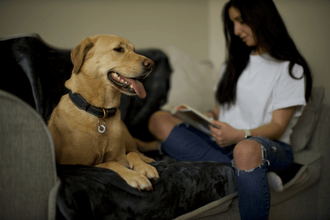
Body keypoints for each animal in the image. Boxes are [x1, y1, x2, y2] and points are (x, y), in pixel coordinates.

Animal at [47, 34, 159, 191]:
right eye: (118, 49)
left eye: (134, 50)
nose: (151, 64)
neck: (101, 113)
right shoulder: (78, 165)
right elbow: (110, 163)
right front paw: (135, 176)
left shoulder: (119, 155)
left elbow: (130, 154)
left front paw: (144, 168)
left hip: (126, 137)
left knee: (134, 149)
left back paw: (146, 160)